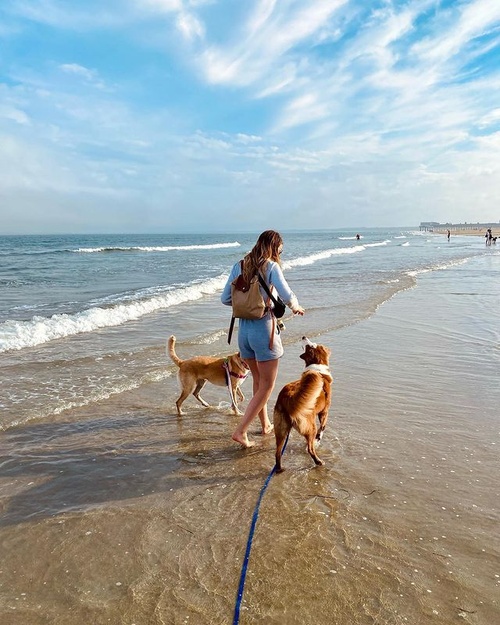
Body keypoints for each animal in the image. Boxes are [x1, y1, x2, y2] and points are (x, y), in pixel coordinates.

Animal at [274, 338, 332, 470]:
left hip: (281, 428)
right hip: (310, 426)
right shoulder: (324, 411)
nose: (304, 336)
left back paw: (279, 469)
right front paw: (318, 438)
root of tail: (288, 397)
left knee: (277, 452)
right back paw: (318, 461)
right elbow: (323, 427)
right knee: (310, 448)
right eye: (311, 345)